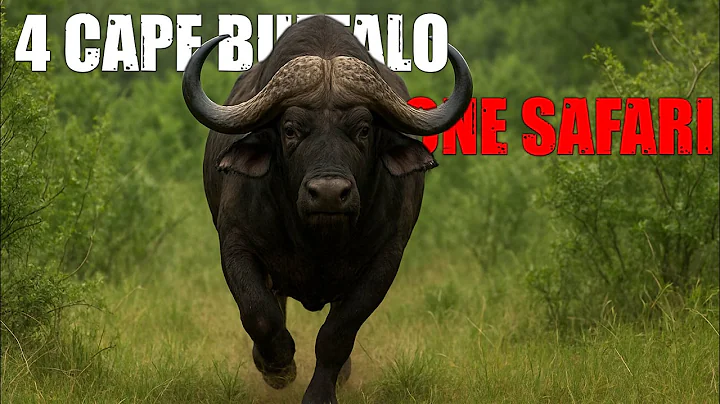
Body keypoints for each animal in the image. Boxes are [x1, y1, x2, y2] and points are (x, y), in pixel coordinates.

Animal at [181, 15, 472, 404]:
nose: (330, 194)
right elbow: (259, 313)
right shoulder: (236, 244)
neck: (316, 239)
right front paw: (278, 366)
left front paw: (320, 392)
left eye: (363, 129)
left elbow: (338, 332)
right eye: (290, 129)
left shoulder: (385, 259)